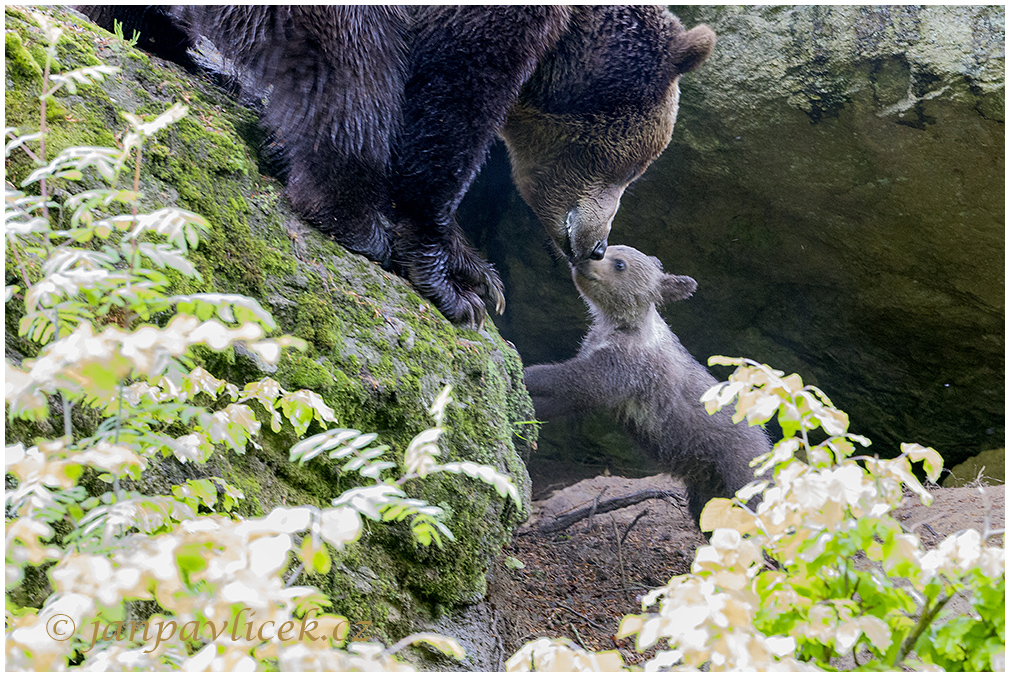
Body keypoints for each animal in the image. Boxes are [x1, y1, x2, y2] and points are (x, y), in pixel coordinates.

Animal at [74, 5, 715, 329]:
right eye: (630, 165)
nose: (596, 244)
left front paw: (476, 270)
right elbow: (444, 100)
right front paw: (451, 283)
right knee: (352, 68)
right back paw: (355, 215)